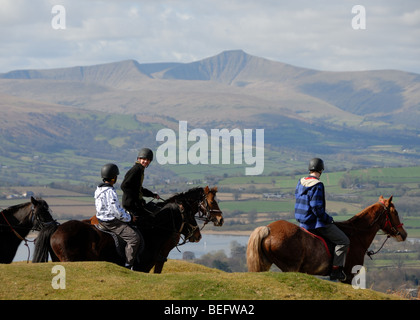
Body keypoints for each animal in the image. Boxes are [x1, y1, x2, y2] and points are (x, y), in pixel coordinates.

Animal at [33, 186, 223, 274]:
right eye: (212, 202)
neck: (153, 228)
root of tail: (57, 228)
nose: (221, 219)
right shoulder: (147, 263)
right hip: (70, 260)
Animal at [246, 196, 406, 284]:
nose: (404, 234)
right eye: (395, 212)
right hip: (291, 267)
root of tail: (268, 228)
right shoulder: (348, 277)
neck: (356, 235)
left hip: (266, 264)